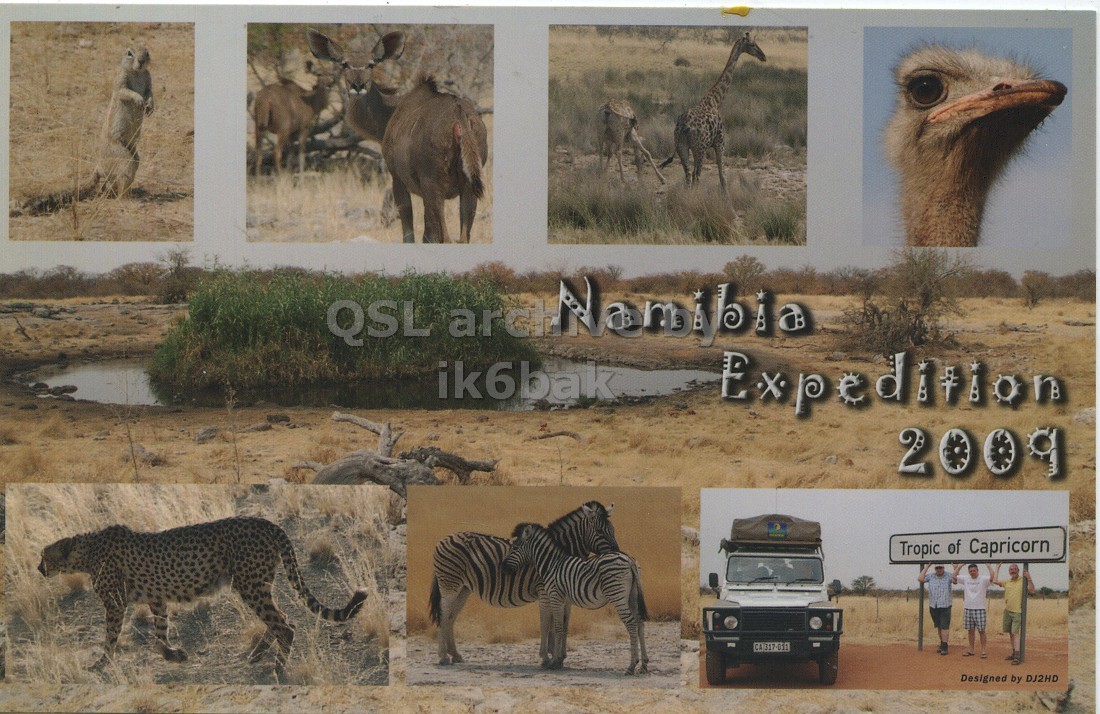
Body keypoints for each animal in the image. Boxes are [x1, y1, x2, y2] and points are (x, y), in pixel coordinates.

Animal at [429, 501, 619, 667]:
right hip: (450, 584)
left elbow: (563, 624)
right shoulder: (545, 592)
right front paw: (548, 657)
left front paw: (559, 656)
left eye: (613, 530)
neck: (558, 555)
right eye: (600, 531)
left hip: (463, 589)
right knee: (444, 614)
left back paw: (455, 655)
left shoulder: (565, 596)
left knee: (451, 617)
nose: (617, 554)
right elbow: (547, 623)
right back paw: (443, 657)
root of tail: (444, 538)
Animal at [503, 522, 649, 675]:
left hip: (617, 594)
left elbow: (557, 627)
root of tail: (630, 561)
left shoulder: (555, 596)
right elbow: (563, 627)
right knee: (640, 622)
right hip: (632, 596)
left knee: (631, 623)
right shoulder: (565, 601)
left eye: (515, 548)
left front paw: (554, 661)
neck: (551, 564)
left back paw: (631, 665)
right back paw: (644, 664)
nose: (503, 567)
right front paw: (559, 659)